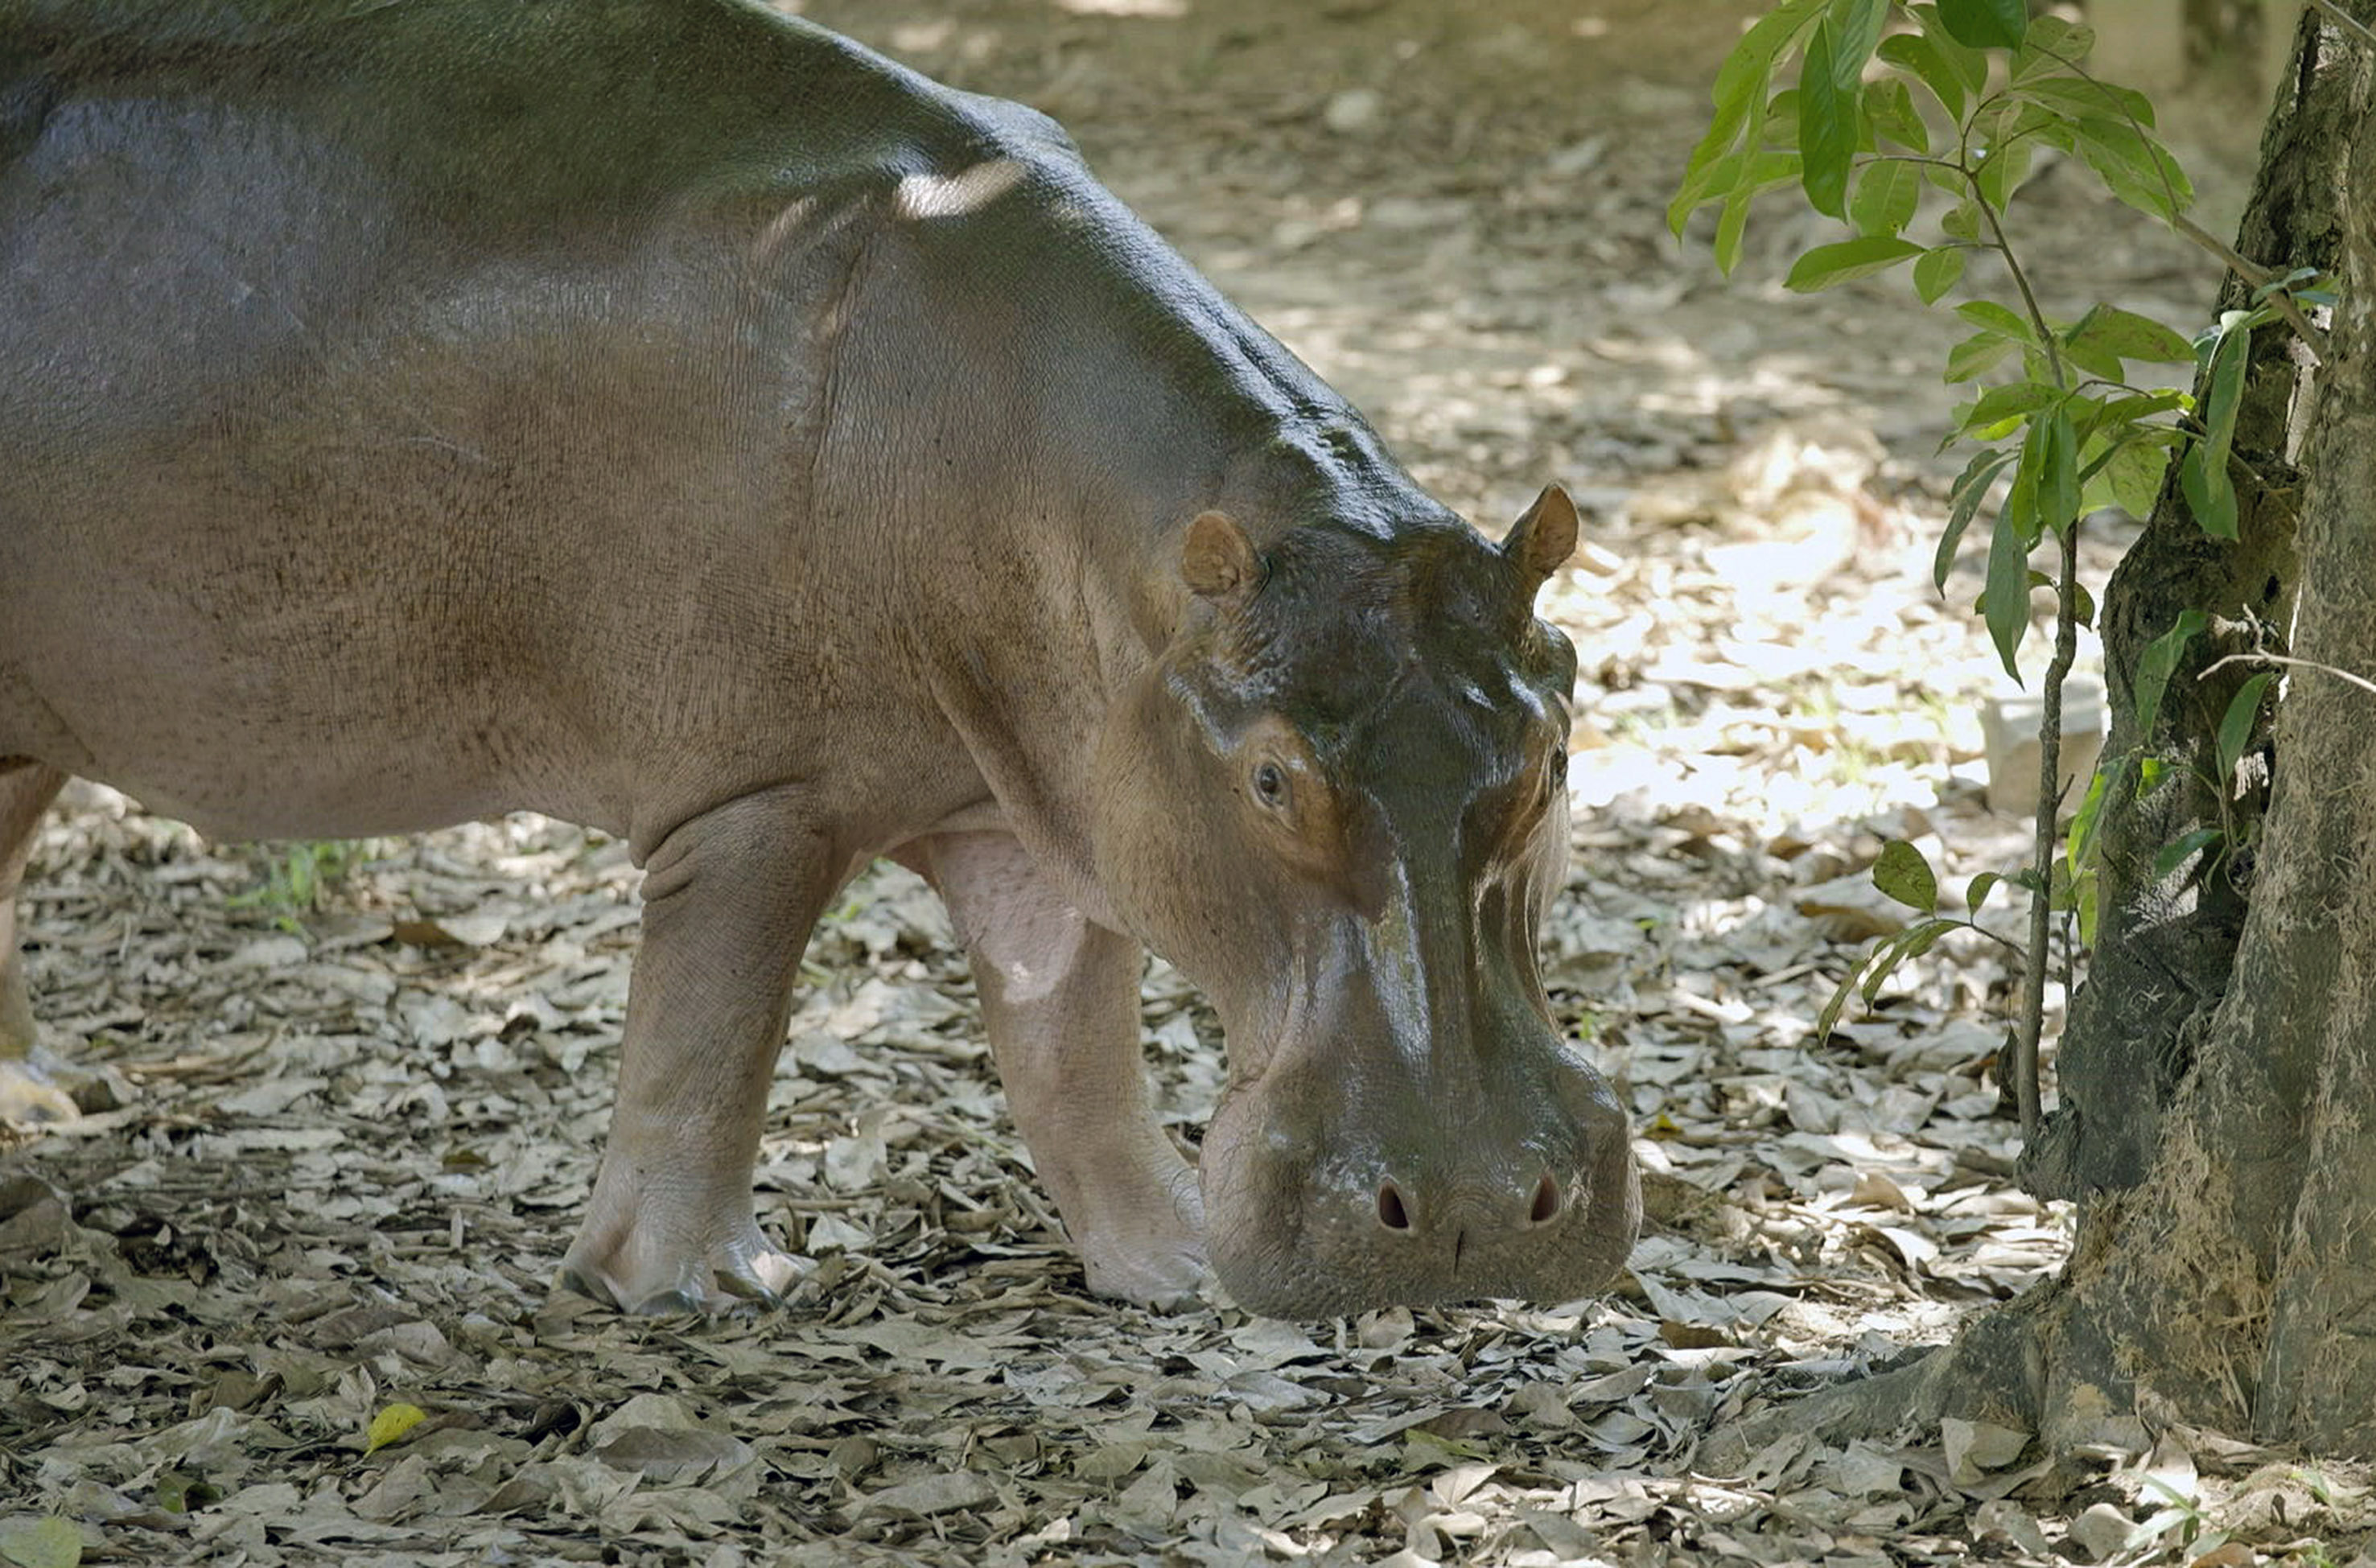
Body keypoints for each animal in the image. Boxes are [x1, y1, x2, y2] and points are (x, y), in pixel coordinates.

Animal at [0, 0, 1638, 1318]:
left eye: (1555, 745)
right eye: (1273, 776)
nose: (1478, 1211)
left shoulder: (1037, 801)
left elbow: (1074, 1055)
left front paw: (1169, 1269)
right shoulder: (758, 794)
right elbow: (710, 1039)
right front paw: (705, 1291)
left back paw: (39, 1110)